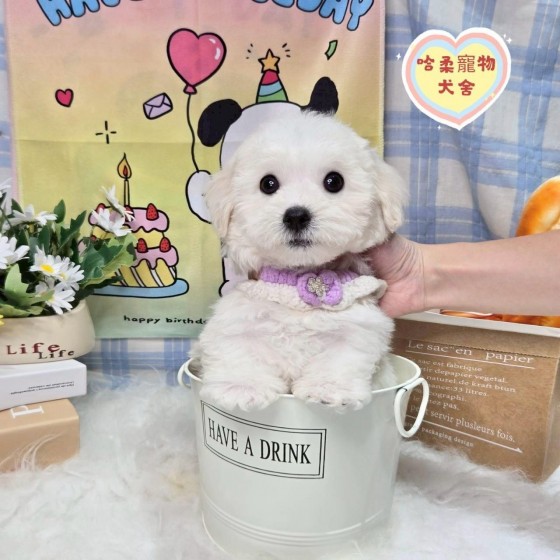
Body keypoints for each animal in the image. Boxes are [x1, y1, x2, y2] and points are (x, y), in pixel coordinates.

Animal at [190, 111, 406, 411]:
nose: (296, 216)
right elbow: (238, 347)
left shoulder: (358, 326)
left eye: (334, 181)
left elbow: (343, 354)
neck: (296, 280)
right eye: (268, 183)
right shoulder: (240, 318)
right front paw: (242, 388)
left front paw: (328, 389)